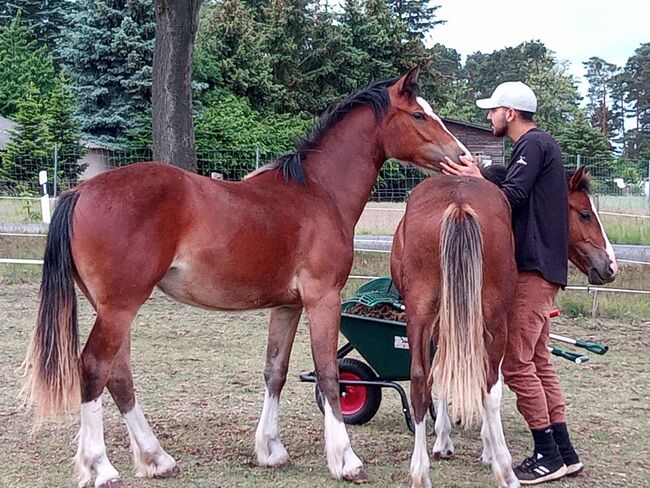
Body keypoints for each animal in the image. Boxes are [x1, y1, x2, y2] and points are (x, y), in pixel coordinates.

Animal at [20, 66, 470, 486]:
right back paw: (102, 467)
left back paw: (157, 459)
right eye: (418, 114)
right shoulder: (323, 298)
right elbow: (327, 372)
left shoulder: (288, 306)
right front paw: (346, 460)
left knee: (119, 375)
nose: (463, 157)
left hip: (114, 308)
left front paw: (271, 450)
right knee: (95, 368)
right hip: (120, 308)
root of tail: (81, 191)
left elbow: (275, 371)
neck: (318, 193)